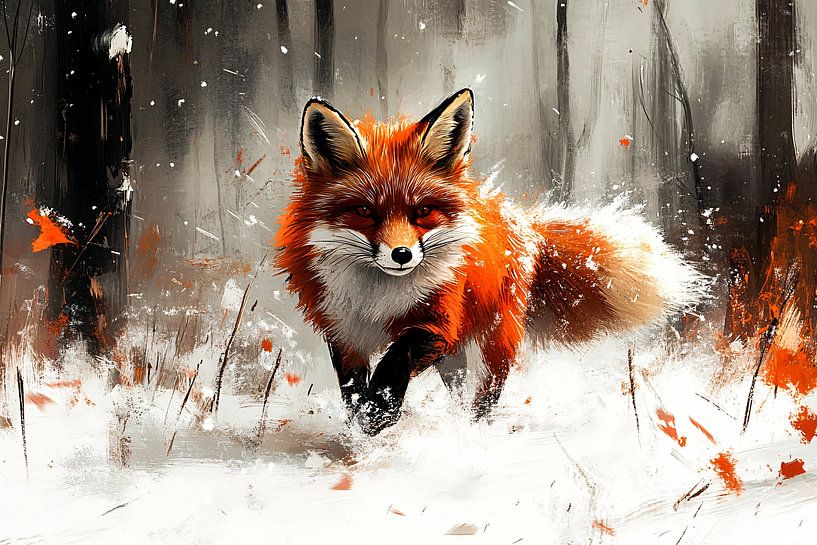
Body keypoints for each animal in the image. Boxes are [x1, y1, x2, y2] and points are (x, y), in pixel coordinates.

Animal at [275, 88, 699, 435]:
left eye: (422, 211)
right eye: (365, 211)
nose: (402, 254)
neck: (378, 298)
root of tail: (520, 222)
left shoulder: (438, 324)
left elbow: (397, 355)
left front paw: (381, 411)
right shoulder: (344, 332)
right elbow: (352, 389)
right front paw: (364, 424)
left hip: (494, 343)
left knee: (485, 398)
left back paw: (474, 433)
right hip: (456, 359)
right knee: (460, 393)